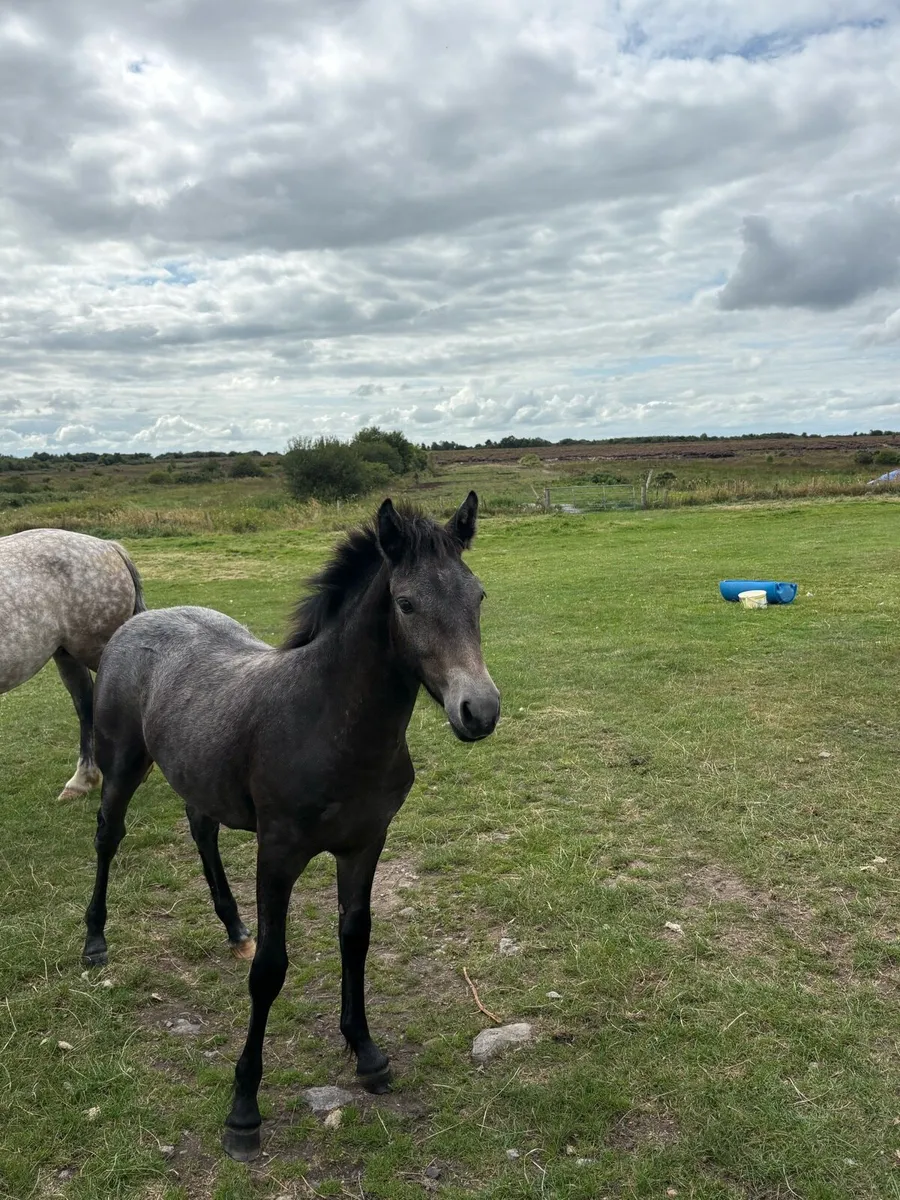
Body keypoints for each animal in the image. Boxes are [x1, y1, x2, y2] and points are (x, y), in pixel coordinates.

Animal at [81, 493, 500, 1160]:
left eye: (478, 595)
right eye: (407, 604)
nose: (478, 711)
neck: (330, 724)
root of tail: (141, 618)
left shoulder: (365, 844)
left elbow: (355, 937)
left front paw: (367, 1054)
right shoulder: (277, 853)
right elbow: (271, 970)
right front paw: (243, 1111)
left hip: (197, 773)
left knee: (201, 831)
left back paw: (233, 927)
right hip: (122, 764)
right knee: (107, 835)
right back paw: (95, 940)